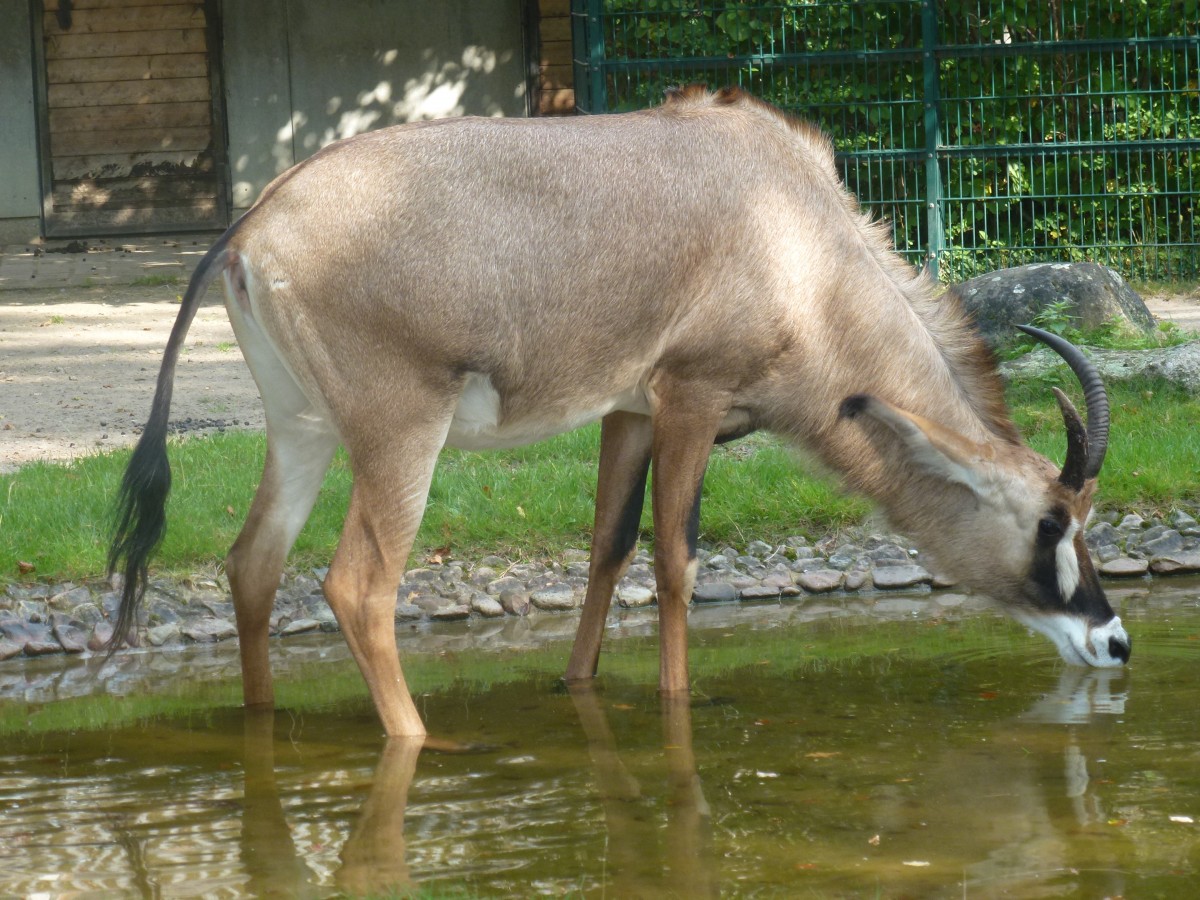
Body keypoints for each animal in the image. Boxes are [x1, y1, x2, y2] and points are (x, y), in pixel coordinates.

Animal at [108, 86, 1128, 739]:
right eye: (1052, 523)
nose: (1113, 641)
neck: (801, 239)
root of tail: (251, 228)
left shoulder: (627, 411)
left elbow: (609, 543)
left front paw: (578, 683)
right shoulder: (691, 394)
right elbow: (676, 560)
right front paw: (681, 705)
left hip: (303, 430)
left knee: (253, 563)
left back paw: (261, 724)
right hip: (400, 436)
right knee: (357, 585)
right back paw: (418, 740)